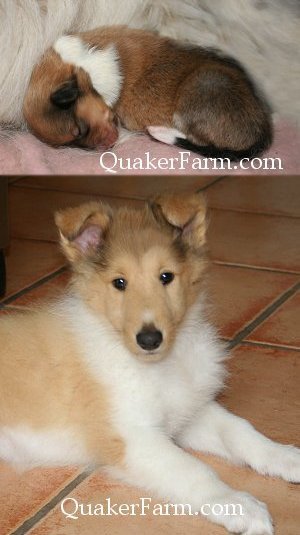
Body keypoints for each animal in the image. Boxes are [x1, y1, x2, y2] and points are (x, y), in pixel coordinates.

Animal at [0, 193, 300, 535]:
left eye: (166, 276)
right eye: (119, 283)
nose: (149, 339)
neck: (159, 366)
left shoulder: (188, 413)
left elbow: (240, 430)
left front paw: (285, 456)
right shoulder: (134, 437)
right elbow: (192, 468)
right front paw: (239, 504)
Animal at [22, 26, 274, 161]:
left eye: (80, 131)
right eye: (74, 144)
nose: (108, 145)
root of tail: (264, 130)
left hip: (200, 89)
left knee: (196, 139)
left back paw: (160, 131)